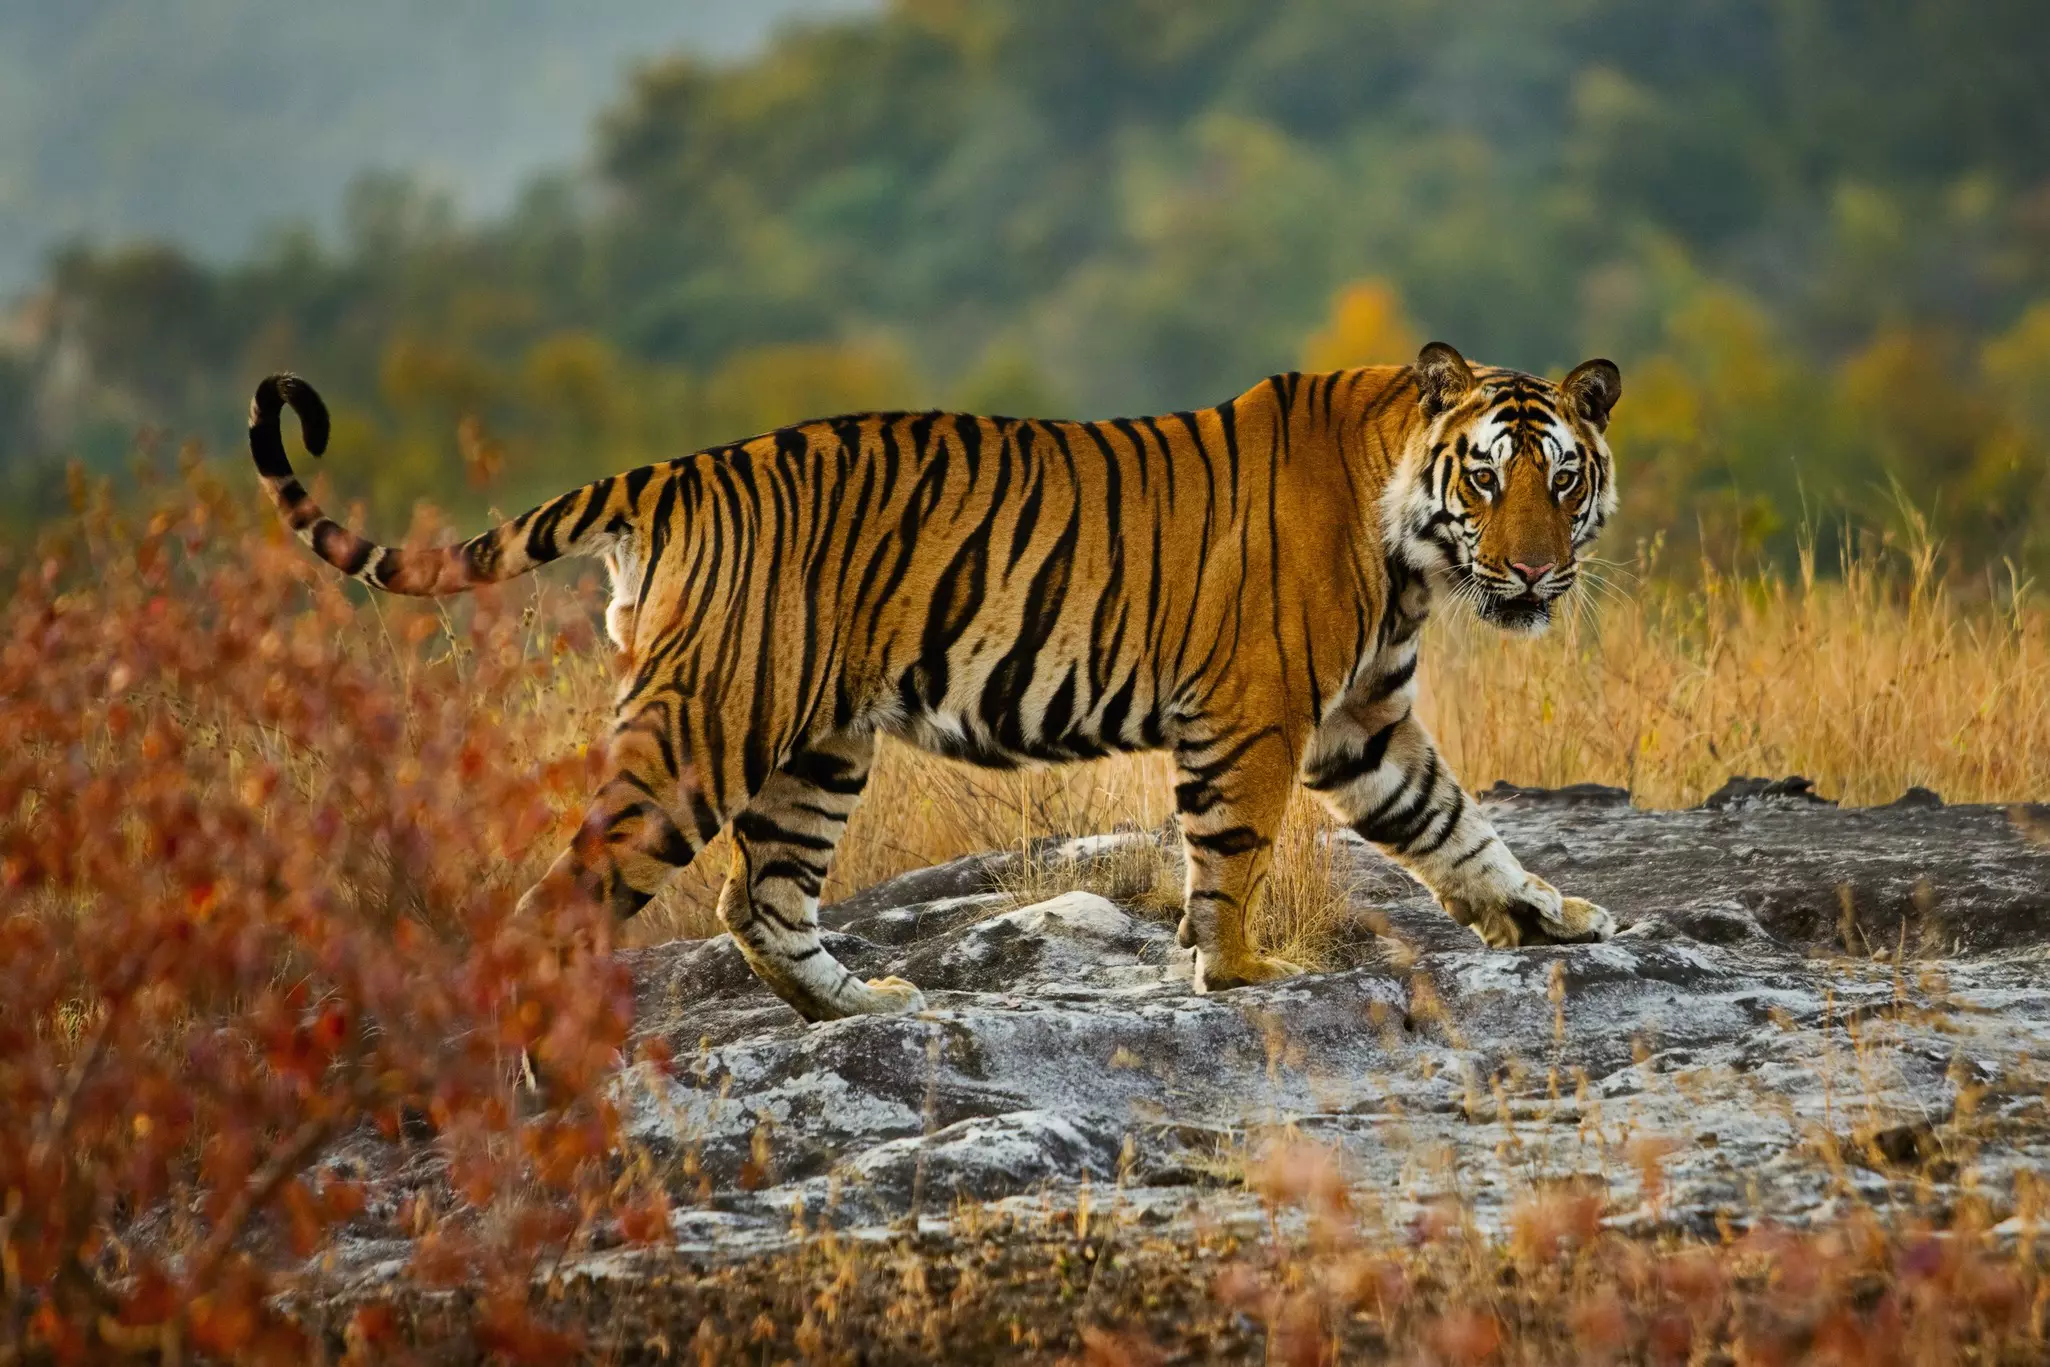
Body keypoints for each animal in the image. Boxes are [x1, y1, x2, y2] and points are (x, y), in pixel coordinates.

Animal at [248, 341, 1622, 1022]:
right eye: (1486, 478)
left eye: (1562, 481)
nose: (1532, 573)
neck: (1412, 550)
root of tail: (675, 471)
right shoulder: (1257, 713)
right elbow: (1231, 854)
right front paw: (1236, 976)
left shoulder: (1360, 721)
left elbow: (1455, 825)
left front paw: (1549, 915)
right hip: (705, 730)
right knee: (566, 900)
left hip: (814, 745)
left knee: (760, 899)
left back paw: (860, 1004)